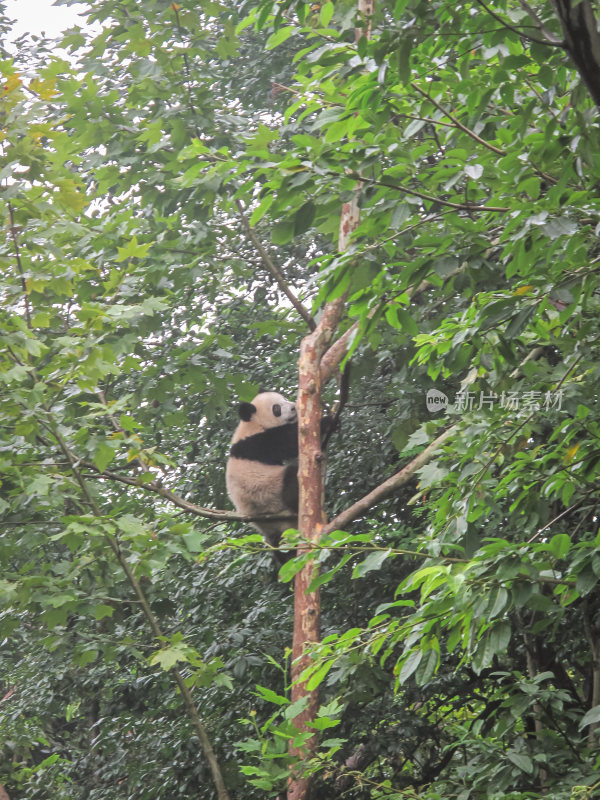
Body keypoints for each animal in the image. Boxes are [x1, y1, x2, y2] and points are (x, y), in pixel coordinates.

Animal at [225, 390, 300, 560]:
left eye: (285, 399)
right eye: (276, 408)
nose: (294, 407)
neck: (253, 423)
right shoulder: (259, 442)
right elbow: (289, 442)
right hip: (270, 494)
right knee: (291, 477)